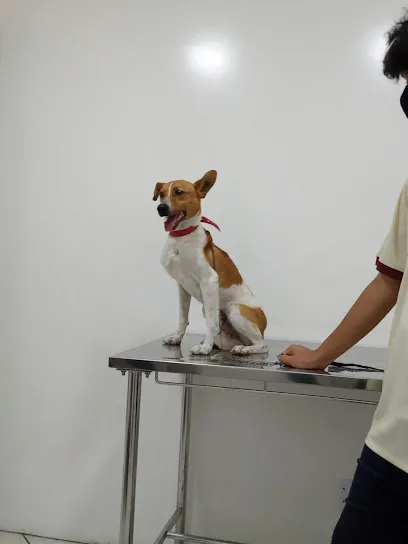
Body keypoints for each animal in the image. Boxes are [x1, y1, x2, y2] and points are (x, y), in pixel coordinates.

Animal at [153, 171, 268, 356]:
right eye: (161, 194)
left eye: (179, 192)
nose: (161, 208)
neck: (181, 239)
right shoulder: (182, 286)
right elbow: (183, 317)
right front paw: (177, 338)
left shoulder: (209, 280)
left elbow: (211, 324)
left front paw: (205, 347)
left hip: (235, 309)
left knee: (262, 345)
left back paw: (244, 349)